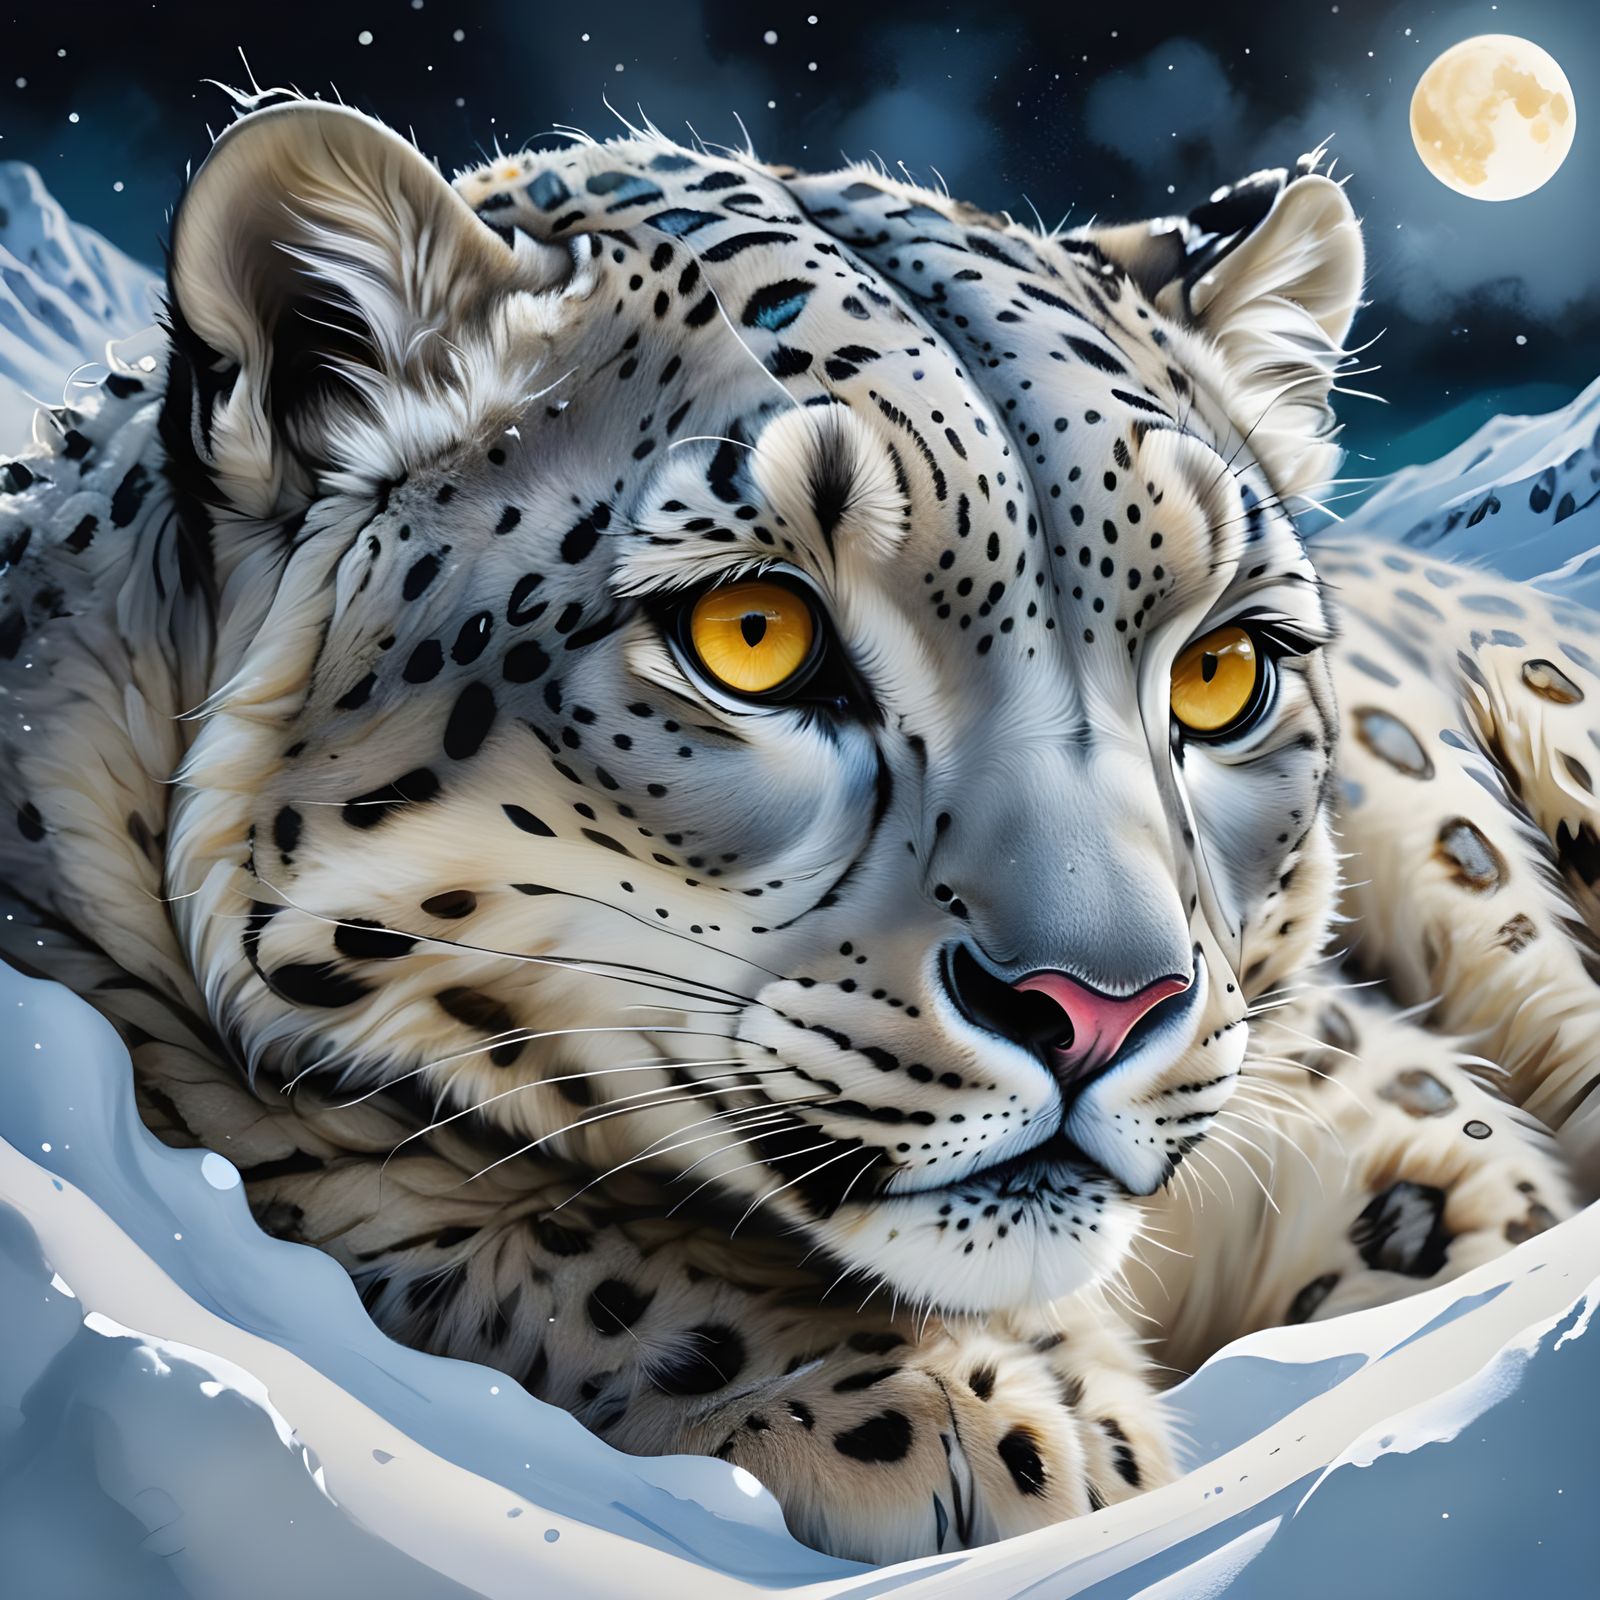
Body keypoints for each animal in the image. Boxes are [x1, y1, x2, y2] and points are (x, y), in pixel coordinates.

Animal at [0, 97, 1595, 1564]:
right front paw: (959, 1423)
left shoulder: (1379, 1107)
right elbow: (417, 1198)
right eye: (751, 636)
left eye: (1221, 669)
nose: (1097, 1008)